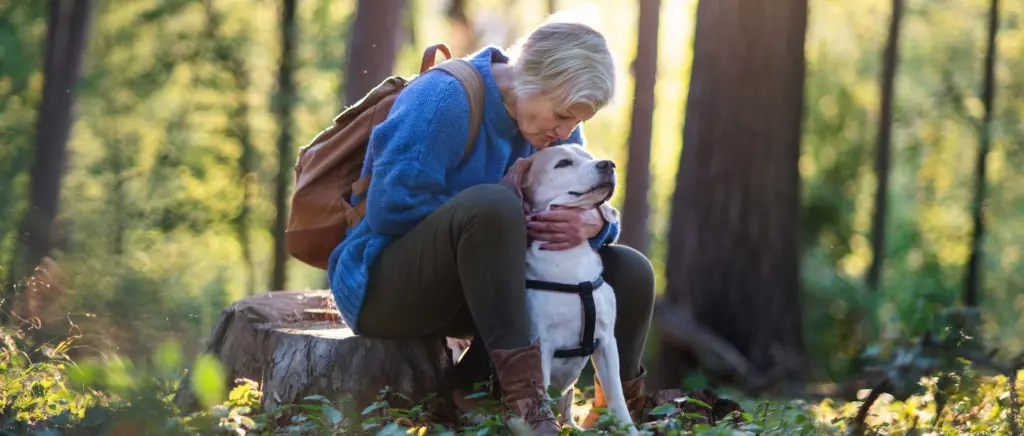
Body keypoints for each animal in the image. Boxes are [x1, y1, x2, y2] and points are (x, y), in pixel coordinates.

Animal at [499, 144, 634, 431]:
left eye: (590, 157)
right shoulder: (542, 345)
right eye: (563, 163)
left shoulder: (607, 342)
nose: (608, 164)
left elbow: (617, 400)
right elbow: (539, 397)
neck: (570, 266)